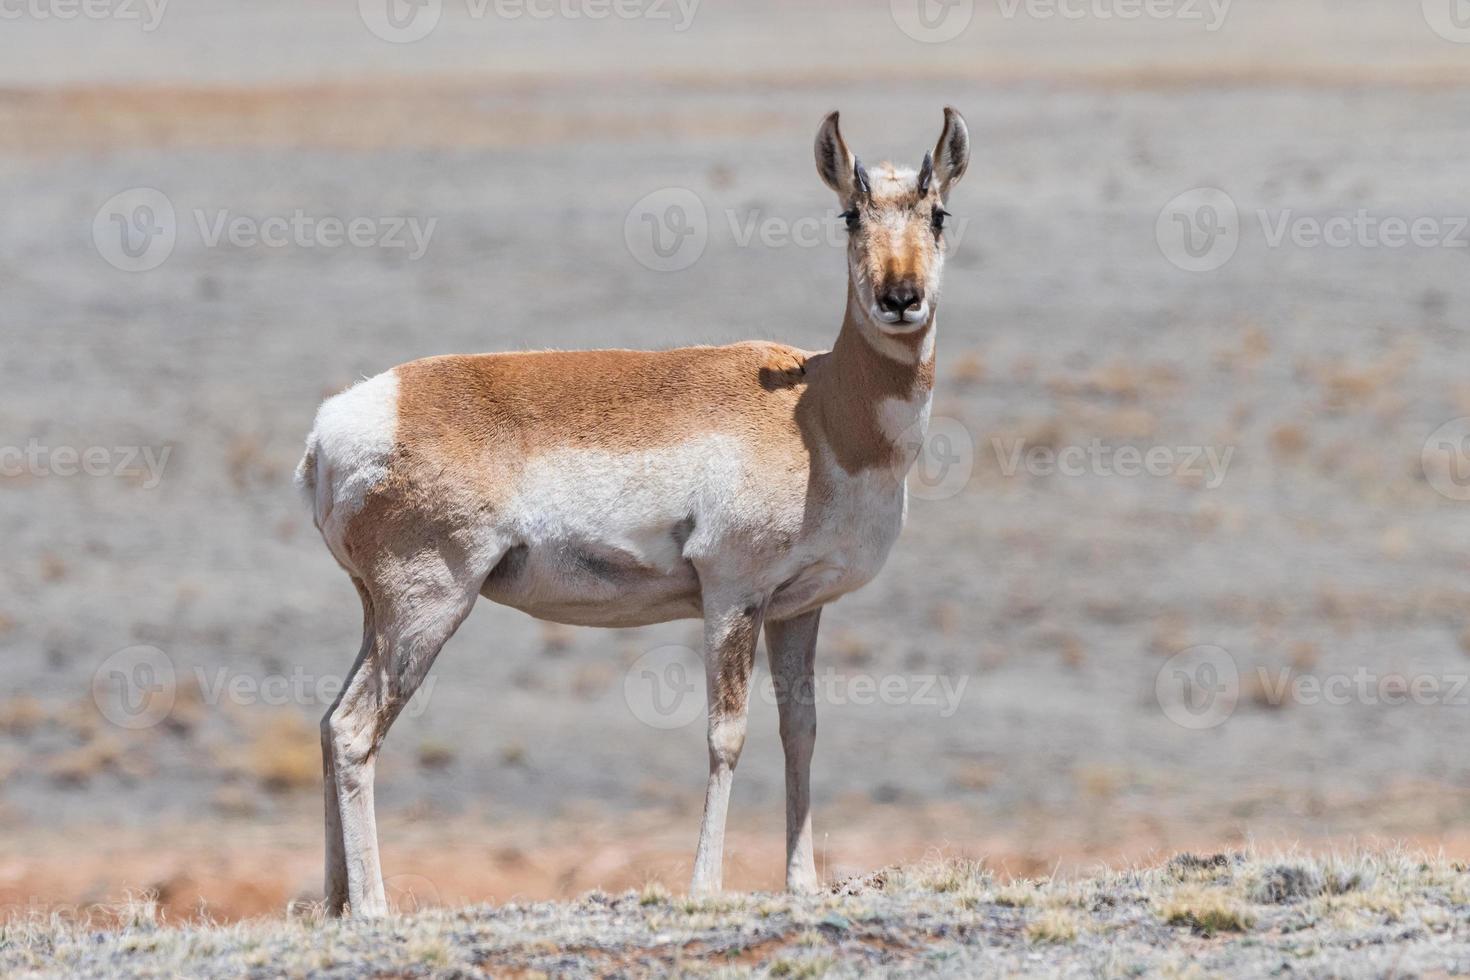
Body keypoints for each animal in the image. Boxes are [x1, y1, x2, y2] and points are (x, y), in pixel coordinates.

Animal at [294, 107, 970, 922]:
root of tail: (337, 425)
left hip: (379, 613)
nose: (900, 297)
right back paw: (372, 909)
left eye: (937, 214)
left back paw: (334, 906)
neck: (818, 409)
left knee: (328, 721)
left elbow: (801, 730)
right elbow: (726, 735)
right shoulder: (733, 598)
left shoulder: (797, 608)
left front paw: (802, 884)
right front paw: (705, 888)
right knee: (354, 730)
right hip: (428, 608)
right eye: (850, 214)